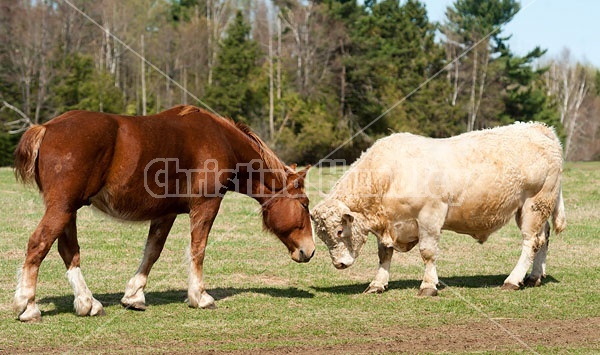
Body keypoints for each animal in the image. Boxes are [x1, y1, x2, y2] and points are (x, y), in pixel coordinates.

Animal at [12, 105, 314, 322]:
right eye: (305, 204)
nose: (309, 251)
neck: (221, 140)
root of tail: (46, 127)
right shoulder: (206, 205)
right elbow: (197, 249)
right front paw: (200, 296)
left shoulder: (165, 213)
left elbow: (152, 252)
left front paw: (134, 295)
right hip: (62, 208)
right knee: (38, 244)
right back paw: (28, 306)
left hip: (67, 210)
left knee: (68, 250)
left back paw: (87, 303)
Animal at [312, 124, 564, 296]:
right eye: (322, 236)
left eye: (339, 231)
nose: (339, 264)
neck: (390, 175)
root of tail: (537, 128)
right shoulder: (388, 223)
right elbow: (385, 254)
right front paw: (377, 284)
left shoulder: (430, 215)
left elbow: (427, 252)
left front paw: (428, 285)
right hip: (534, 209)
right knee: (543, 237)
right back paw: (534, 276)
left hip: (535, 204)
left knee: (531, 242)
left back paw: (513, 280)